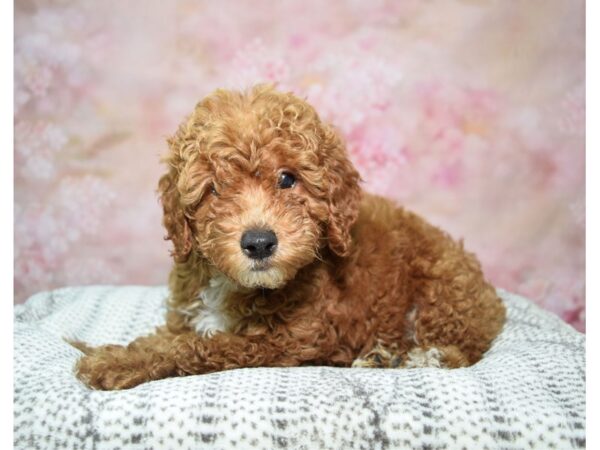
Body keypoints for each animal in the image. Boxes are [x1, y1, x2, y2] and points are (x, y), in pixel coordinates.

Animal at [75, 85, 506, 390]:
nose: (259, 243)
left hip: (444, 289)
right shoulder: (187, 313)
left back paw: (411, 358)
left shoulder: (291, 340)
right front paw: (128, 353)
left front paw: (114, 362)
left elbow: (205, 345)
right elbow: (174, 337)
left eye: (287, 179)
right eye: (214, 189)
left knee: (463, 350)